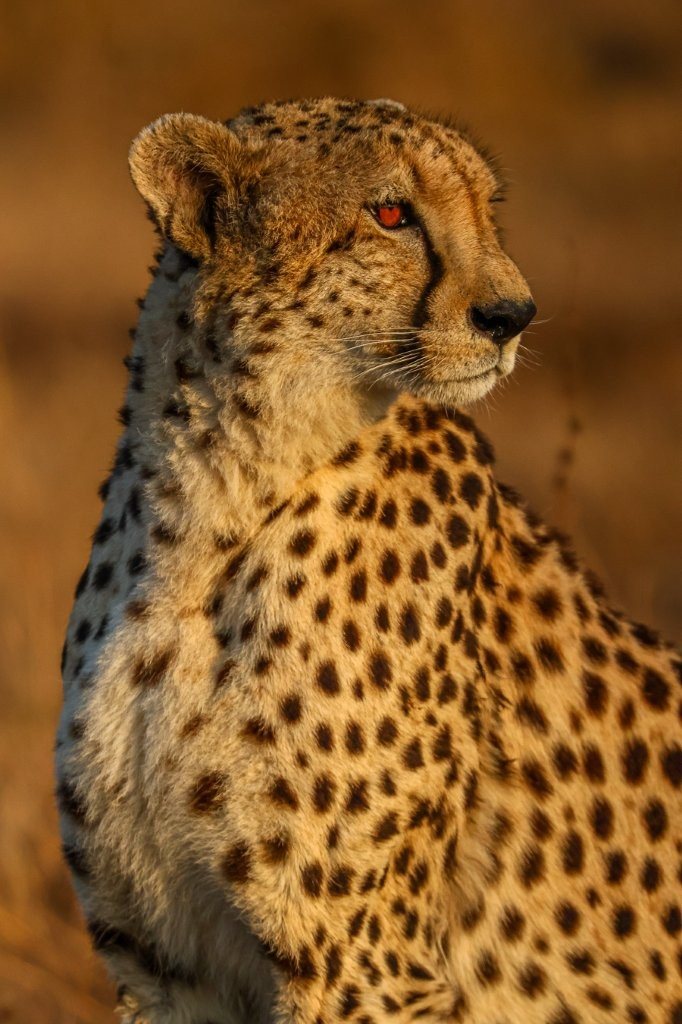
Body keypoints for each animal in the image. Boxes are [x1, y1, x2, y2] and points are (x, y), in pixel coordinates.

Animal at [56, 97, 681, 1024]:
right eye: (391, 215)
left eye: (486, 208)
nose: (513, 314)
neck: (206, 513)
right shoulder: (163, 965)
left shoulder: (360, 963)